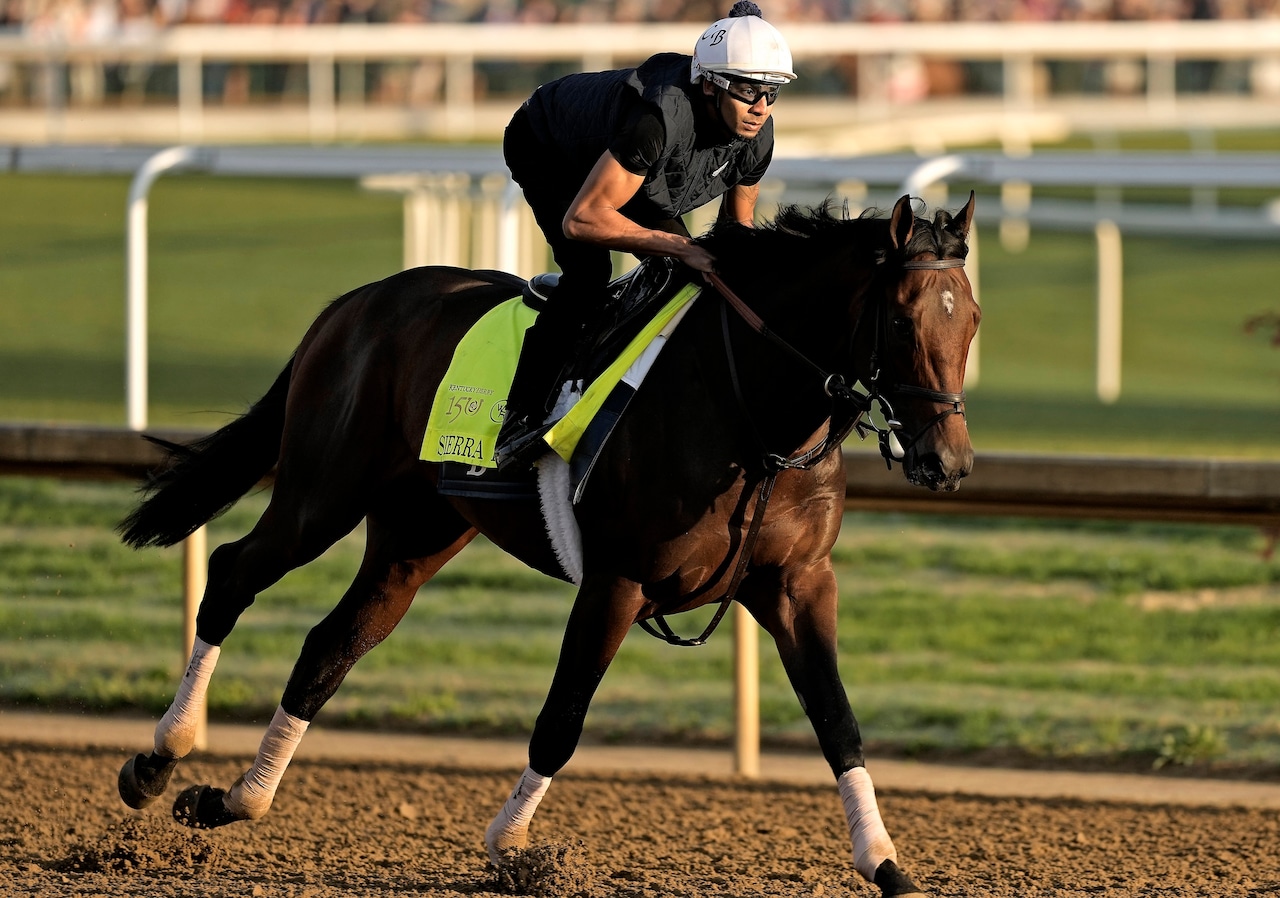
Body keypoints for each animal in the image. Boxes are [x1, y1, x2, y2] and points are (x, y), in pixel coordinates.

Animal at [117, 191, 977, 898]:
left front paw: (886, 863)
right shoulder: (619, 581)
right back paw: (159, 758)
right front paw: (513, 847)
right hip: (321, 492)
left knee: (332, 643)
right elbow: (562, 718)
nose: (948, 460)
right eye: (901, 320)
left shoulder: (797, 584)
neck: (753, 416)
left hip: (416, 533)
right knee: (231, 573)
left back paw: (235, 797)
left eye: (969, 320)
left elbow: (838, 721)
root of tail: (352, 304)